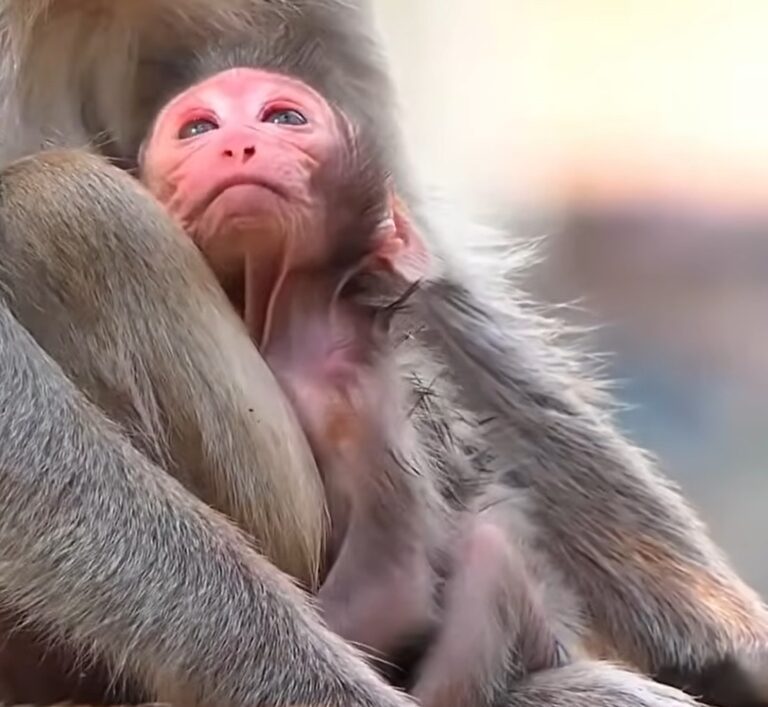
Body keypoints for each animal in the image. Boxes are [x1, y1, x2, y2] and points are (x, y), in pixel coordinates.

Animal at [1, 2, 768, 706]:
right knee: (74, 206)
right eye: (199, 128)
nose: (240, 147)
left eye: (283, 118)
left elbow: (420, 283)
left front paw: (723, 644)